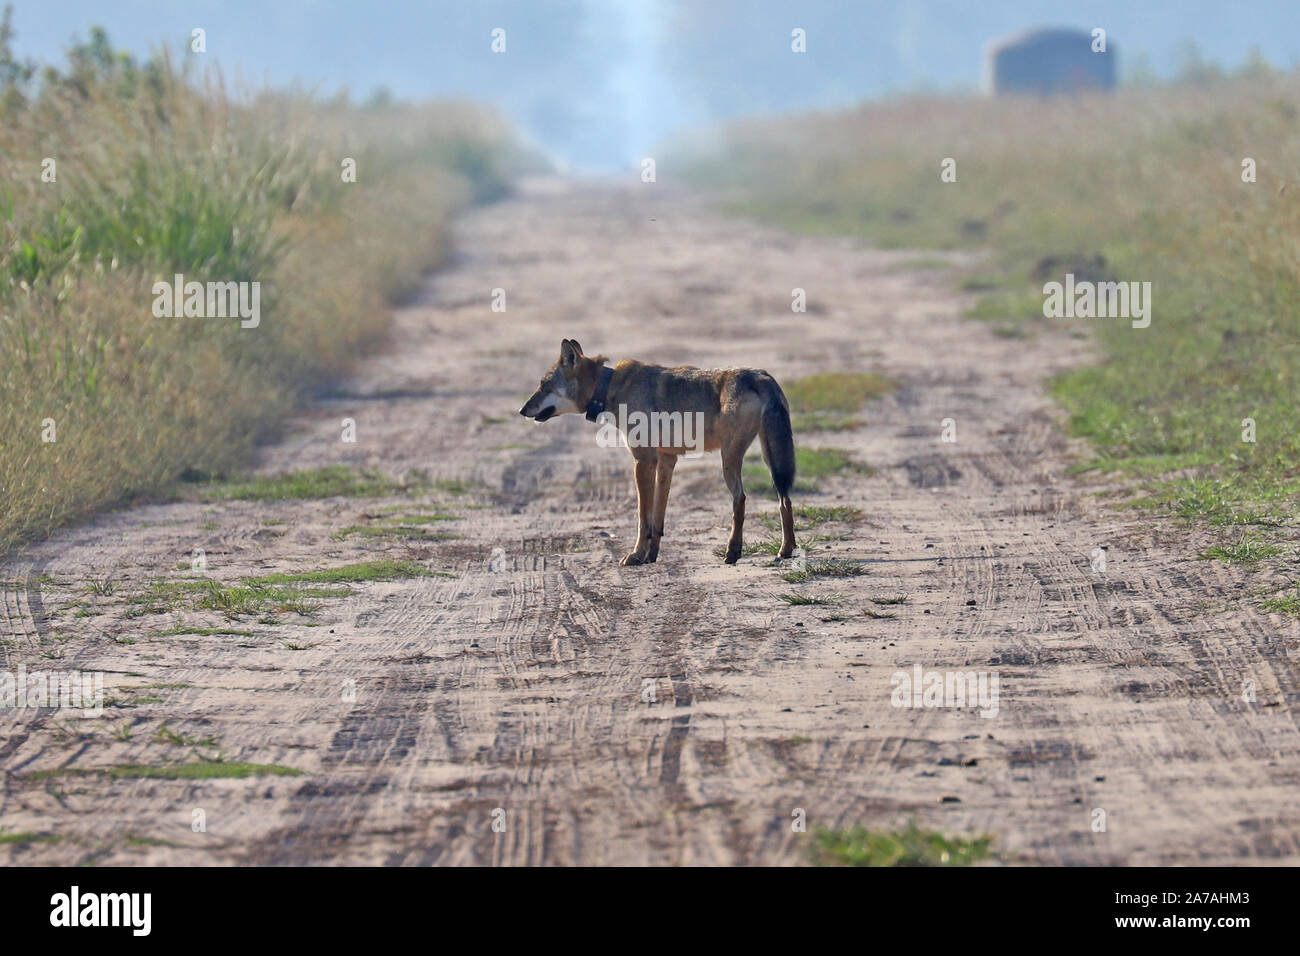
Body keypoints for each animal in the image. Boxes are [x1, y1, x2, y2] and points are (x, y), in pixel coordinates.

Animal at [519, 339, 796, 566]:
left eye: (544, 385)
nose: (522, 410)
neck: (609, 388)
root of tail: (762, 377)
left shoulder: (643, 461)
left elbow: (643, 518)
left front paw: (635, 556)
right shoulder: (666, 461)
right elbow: (658, 519)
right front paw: (651, 556)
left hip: (728, 460)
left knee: (741, 499)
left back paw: (733, 552)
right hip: (770, 460)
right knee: (785, 500)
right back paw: (786, 550)